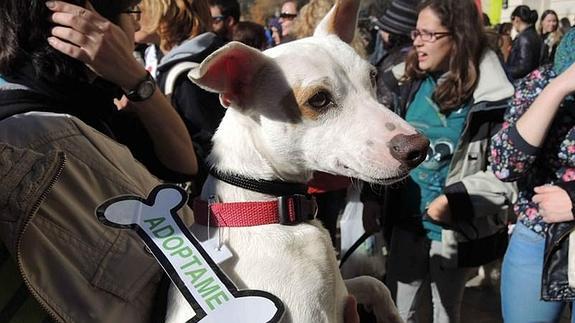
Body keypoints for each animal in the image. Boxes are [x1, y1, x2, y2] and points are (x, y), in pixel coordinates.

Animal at [165, 0, 428, 322]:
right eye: (319, 100)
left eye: (373, 77)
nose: (419, 148)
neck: (266, 205)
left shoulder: (341, 293)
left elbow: (373, 283)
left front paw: (391, 314)